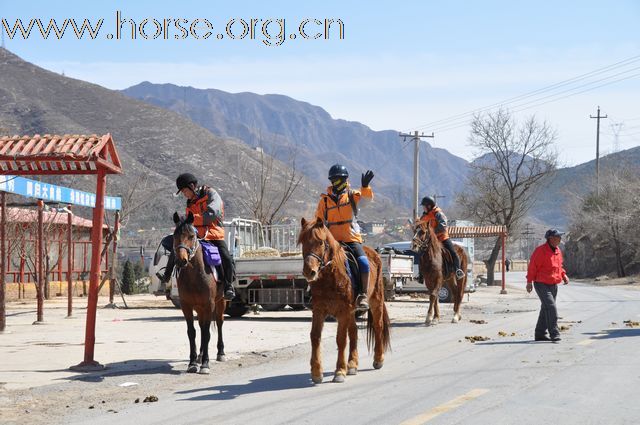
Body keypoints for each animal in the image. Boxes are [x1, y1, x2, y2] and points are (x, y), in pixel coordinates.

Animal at [172, 210, 228, 372]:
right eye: (175, 236)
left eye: (192, 236)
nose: (181, 260)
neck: (194, 275)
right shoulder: (187, 306)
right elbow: (192, 332)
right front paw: (192, 362)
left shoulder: (209, 304)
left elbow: (207, 333)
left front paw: (205, 364)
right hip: (199, 308)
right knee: (202, 326)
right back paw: (200, 355)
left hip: (220, 302)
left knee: (219, 323)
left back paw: (220, 353)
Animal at [296, 219, 390, 384]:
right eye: (303, 242)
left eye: (320, 242)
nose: (309, 271)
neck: (330, 277)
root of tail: (375, 254)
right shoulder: (319, 310)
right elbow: (315, 336)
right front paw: (316, 372)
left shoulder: (343, 311)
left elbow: (340, 339)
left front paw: (339, 371)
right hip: (351, 312)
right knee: (353, 332)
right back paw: (352, 365)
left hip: (375, 301)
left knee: (378, 326)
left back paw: (378, 359)